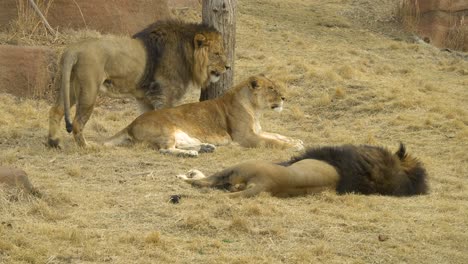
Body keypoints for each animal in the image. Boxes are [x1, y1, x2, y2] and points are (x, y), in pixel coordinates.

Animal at [47, 20, 229, 148]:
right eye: (217, 53)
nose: (228, 67)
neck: (186, 54)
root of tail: (73, 49)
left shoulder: (145, 98)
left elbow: (146, 117)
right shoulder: (165, 94)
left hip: (72, 86)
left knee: (56, 110)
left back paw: (54, 142)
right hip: (89, 90)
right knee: (77, 122)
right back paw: (86, 147)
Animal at [103, 75, 304, 157]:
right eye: (271, 89)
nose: (284, 98)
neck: (255, 110)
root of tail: (131, 123)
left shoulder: (257, 131)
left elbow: (277, 135)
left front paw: (296, 141)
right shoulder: (245, 137)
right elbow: (273, 141)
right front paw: (293, 146)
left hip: (183, 134)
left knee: (181, 145)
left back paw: (206, 148)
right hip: (166, 130)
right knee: (165, 149)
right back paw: (191, 154)